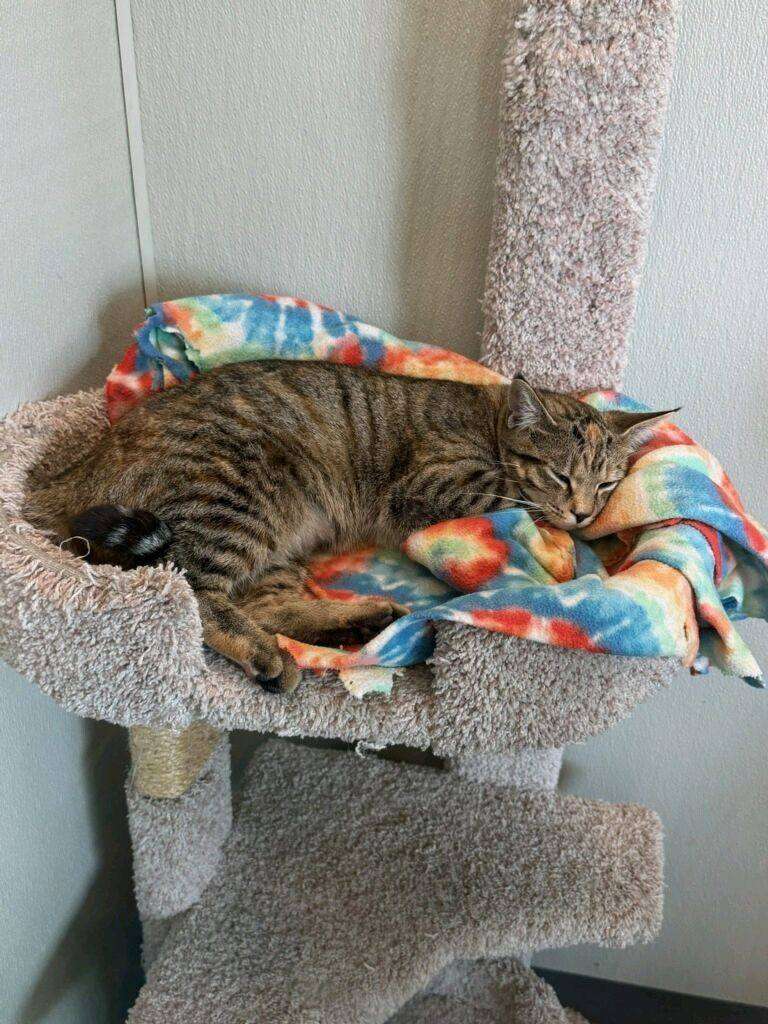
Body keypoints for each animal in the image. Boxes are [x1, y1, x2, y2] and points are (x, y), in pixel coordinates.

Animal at [28, 363, 674, 693]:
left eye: (608, 484)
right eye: (560, 475)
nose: (586, 509)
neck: (487, 421)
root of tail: (71, 471)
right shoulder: (437, 487)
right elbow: (524, 506)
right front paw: (579, 534)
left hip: (272, 541)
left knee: (266, 604)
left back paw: (356, 621)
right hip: (235, 497)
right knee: (192, 591)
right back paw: (266, 654)